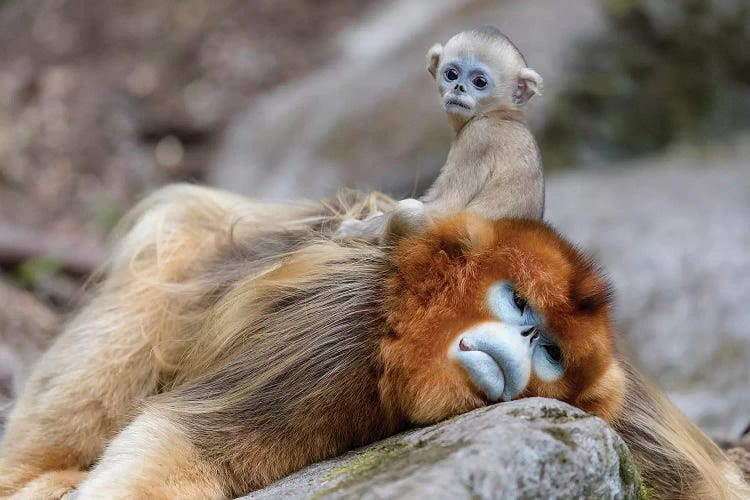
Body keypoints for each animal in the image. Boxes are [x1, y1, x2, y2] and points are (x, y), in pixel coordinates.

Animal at [0, 186, 748, 498]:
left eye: (553, 353)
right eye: (517, 303)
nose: (521, 342)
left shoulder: (621, 421)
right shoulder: (338, 333)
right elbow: (181, 443)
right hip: (180, 254)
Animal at [340, 27, 548, 242]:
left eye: (480, 82)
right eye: (452, 74)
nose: (458, 87)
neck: (501, 115)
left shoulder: (477, 137)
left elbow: (446, 208)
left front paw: (356, 230)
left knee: (407, 210)